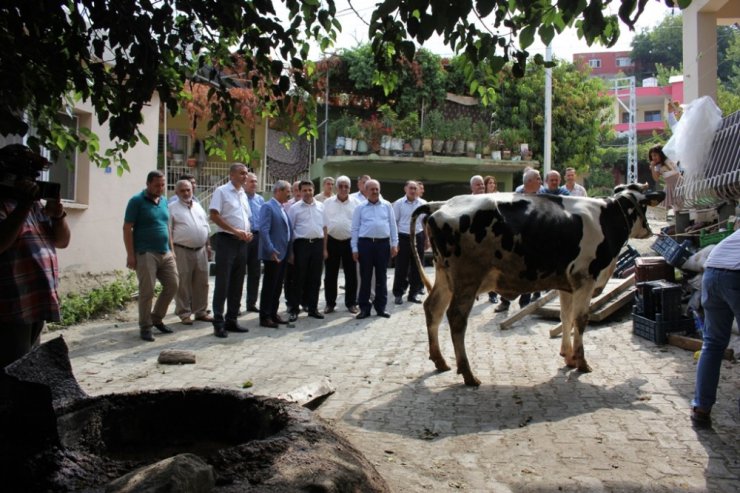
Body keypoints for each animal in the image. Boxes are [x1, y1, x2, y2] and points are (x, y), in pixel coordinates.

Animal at [410, 183, 664, 386]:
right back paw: (468, 374)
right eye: (644, 204)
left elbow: (565, 317)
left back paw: (440, 361)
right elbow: (580, 320)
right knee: (456, 318)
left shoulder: (568, 284)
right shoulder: (586, 280)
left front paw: (568, 357)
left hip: (445, 276)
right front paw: (582, 363)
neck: (606, 218)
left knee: (433, 308)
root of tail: (441, 205)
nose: (649, 230)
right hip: (467, 280)